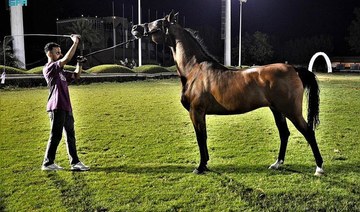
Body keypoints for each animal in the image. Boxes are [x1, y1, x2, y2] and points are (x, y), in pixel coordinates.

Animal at [131, 10, 324, 176]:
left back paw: (319, 168)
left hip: (291, 111)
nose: (135, 28)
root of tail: (293, 69)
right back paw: (277, 164)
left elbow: (200, 137)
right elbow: (203, 137)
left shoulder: (196, 112)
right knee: (284, 133)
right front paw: (205, 164)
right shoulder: (200, 113)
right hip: (277, 110)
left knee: (308, 132)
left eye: (157, 23)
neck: (194, 69)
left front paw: (200, 167)